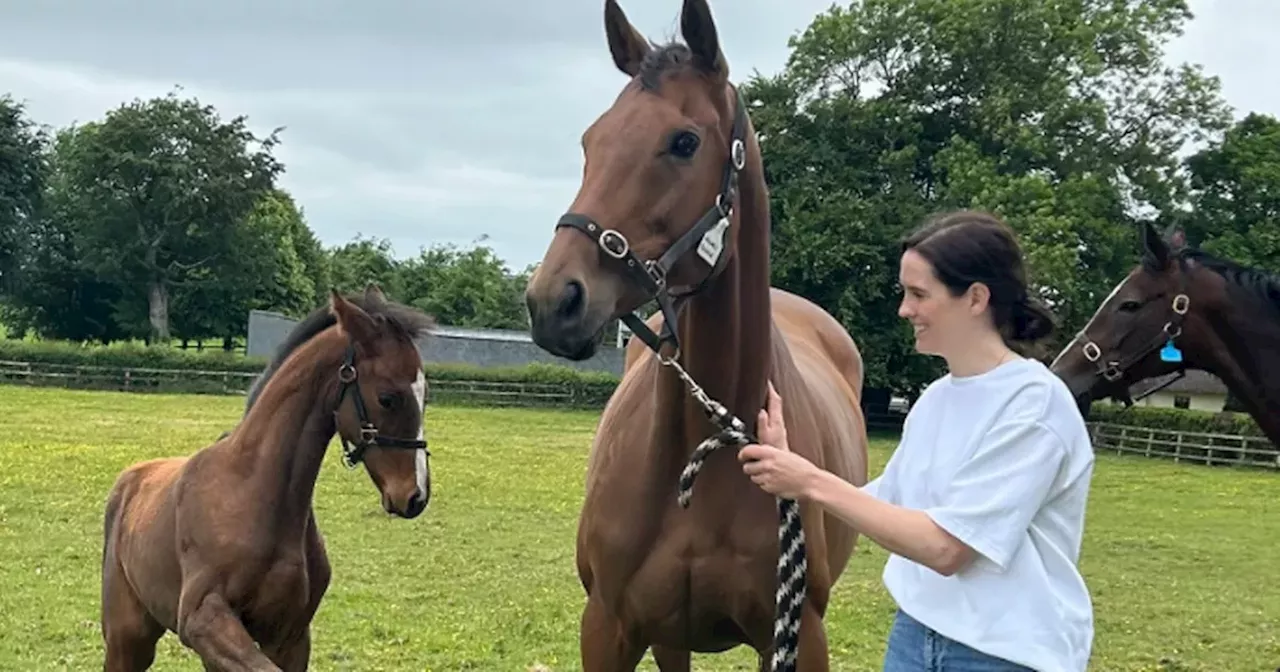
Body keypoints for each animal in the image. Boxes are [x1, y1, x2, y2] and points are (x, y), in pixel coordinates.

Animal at [98, 284, 435, 670]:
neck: (256, 492)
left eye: (426, 395)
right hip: (128, 638)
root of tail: (130, 479)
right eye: (388, 398)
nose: (415, 494)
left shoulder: (290, 636)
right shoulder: (202, 618)